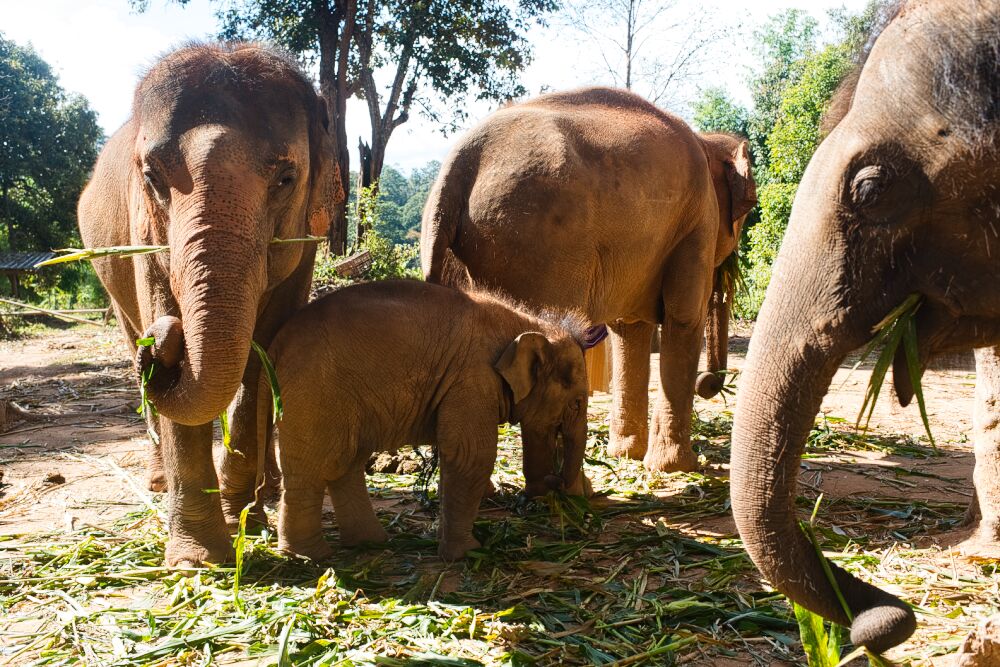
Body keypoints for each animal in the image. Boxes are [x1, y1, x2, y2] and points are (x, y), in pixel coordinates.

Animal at [77, 43, 342, 567]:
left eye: (287, 177)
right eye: (151, 176)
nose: (165, 340)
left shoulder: (305, 244)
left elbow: (262, 360)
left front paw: (244, 517)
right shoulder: (144, 234)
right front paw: (196, 560)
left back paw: (267, 492)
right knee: (129, 336)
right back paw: (161, 481)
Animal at [257, 280, 593, 561]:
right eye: (576, 402)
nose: (559, 484)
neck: (527, 323)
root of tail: (273, 347)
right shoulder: (472, 379)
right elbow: (471, 455)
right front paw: (467, 553)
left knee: (346, 463)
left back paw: (370, 543)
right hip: (313, 395)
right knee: (313, 468)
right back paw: (308, 556)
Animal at [420, 87, 757, 473]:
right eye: (749, 208)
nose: (710, 382)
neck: (706, 141)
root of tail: (457, 168)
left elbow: (630, 327)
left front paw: (627, 455)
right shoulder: (697, 220)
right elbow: (684, 318)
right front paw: (678, 468)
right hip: (536, 242)